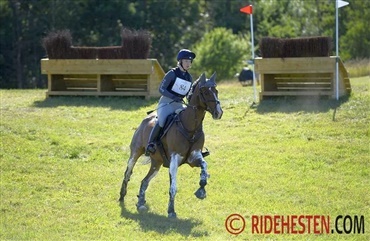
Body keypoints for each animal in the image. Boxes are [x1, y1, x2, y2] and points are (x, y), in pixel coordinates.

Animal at [118, 72, 223, 217]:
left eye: (216, 91)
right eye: (205, 92)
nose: (219, 113)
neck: (190, 127)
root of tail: (146, 120)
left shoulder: (193, 157)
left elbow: (204, 165)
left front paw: (201, 189)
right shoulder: (174, 158)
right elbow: (173, 186)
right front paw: (171, 211)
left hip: (156, 163)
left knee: (144, 181)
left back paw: (140, 203)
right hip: (135, 153)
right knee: (128, 173)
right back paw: (122, 196)